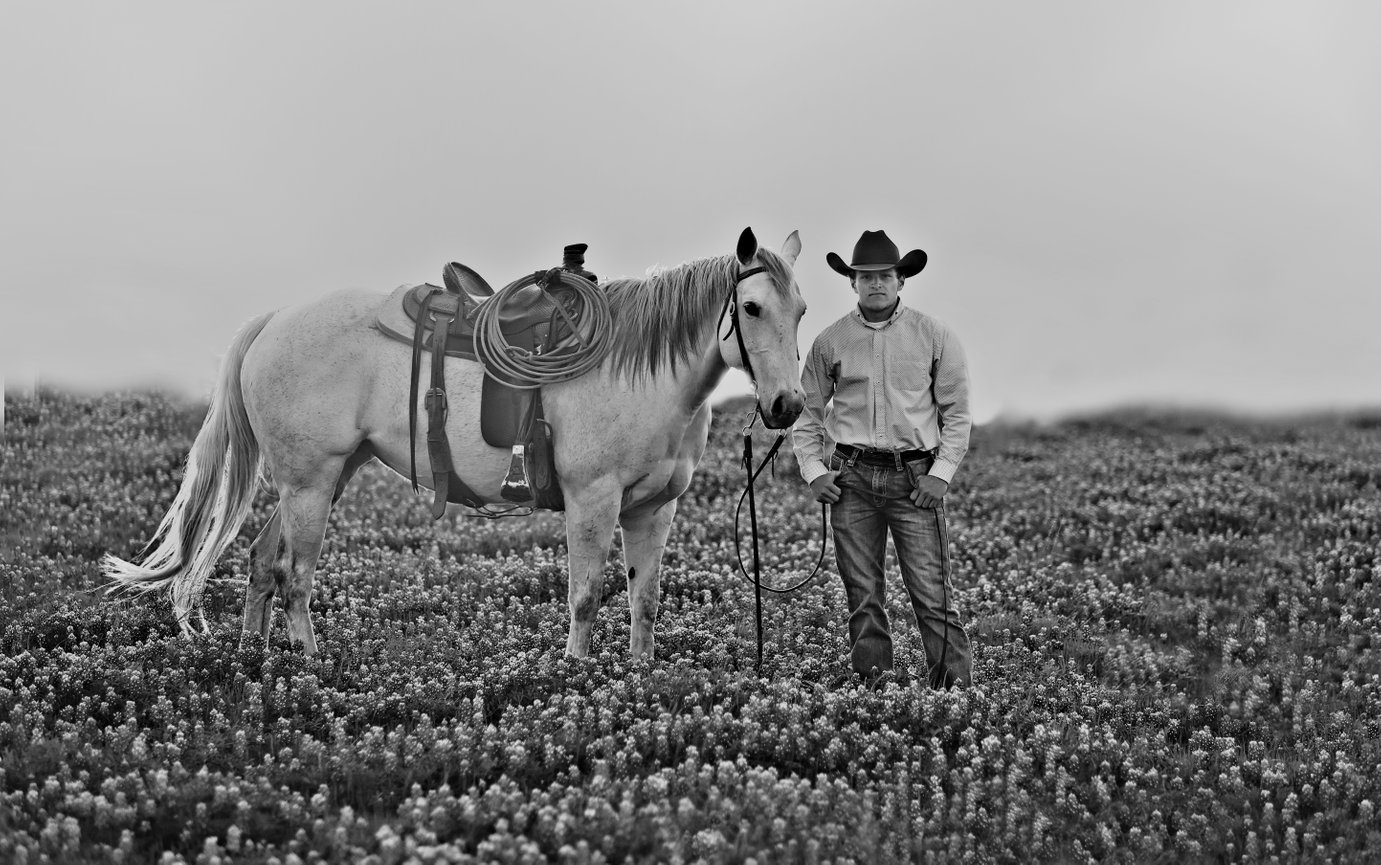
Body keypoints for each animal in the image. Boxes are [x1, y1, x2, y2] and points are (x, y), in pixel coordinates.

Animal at [103, 227, 806, 658]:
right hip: (311, 481)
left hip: (325, 476)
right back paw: (309, 663)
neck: (639, 373)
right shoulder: (593, 500)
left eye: (800, 310)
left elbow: (646, 600)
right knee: (295, 576)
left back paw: (256, 657)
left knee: (260, 561)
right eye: (750, 307)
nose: (787, 405)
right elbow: (584, 597)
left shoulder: (653, 508)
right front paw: (578, 674)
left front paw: (640, 678)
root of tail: (275, 319)